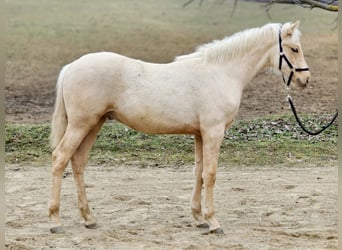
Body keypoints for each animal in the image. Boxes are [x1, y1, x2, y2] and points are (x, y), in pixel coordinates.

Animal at [48, 21, 310, 234]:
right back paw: (55, 221)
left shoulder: (200, 134)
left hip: (93, 124)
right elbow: (210, 174)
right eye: (294, 49)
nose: (305, 80)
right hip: (81, 125)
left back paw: (89, 219)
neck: (221, 73)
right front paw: (213, 222)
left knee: (78, 163)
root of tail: (71, 67)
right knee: (60, 158)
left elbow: (198, 173)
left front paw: (199, 218)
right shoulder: (213, 132)